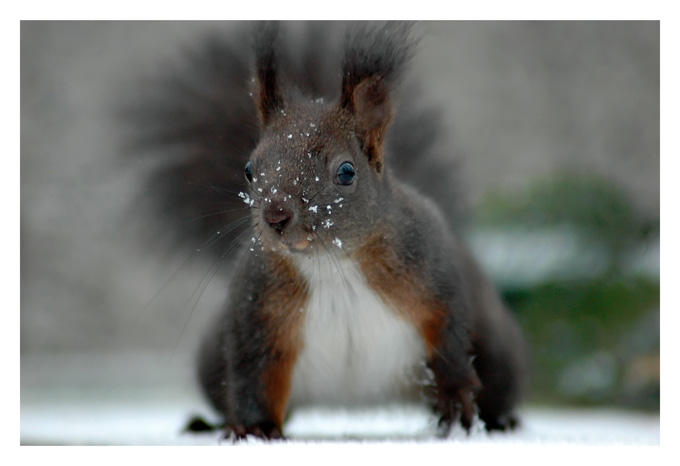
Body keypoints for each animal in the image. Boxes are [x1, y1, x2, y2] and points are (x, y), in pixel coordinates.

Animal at [127, 21, 532, 440]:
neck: (331, 261)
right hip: (211, 358)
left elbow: (449, 343)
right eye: (249, 169)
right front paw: (254, 429)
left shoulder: (432, 274)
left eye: (346, 172)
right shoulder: (256, 308)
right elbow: (252, 372)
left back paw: (501, 421)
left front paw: (455, 403)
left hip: (499, 352)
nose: (275, 215)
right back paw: (207, 423)